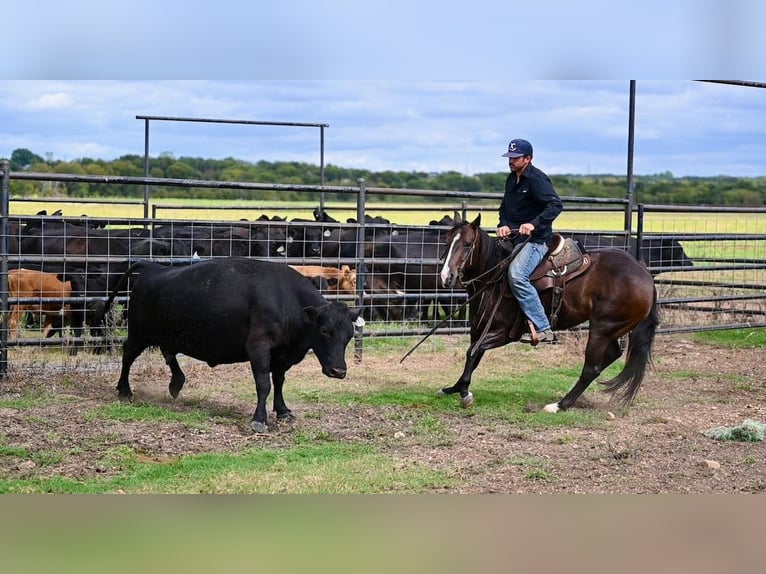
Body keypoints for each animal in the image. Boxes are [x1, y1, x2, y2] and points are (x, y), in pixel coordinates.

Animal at [103, 258, 364, 434]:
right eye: (325, 331)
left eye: (349, 335)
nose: (339, 371)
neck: (286, 300)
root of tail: (153, 268)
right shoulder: (258, 348)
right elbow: (264, 384)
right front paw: (259, 419)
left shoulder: (282, 354)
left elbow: (279, 382)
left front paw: (282, 411)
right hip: (139, 333)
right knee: (128, 354)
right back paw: (124, 390)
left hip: (168, 333)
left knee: (168, 353)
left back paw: (176, 382)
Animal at [438, 215, 660, 414]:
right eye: (447, 242)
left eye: (467, 244)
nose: (446, 276)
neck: (494, 279)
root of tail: (645, 274)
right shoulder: (480, 329)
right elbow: (474, 356)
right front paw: (454, 387)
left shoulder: (505, 334)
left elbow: (472, 352)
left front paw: (465, 393)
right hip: (611, 330)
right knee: (612, 355)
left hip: (602, 329)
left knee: (591, 368)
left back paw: (559, 405)